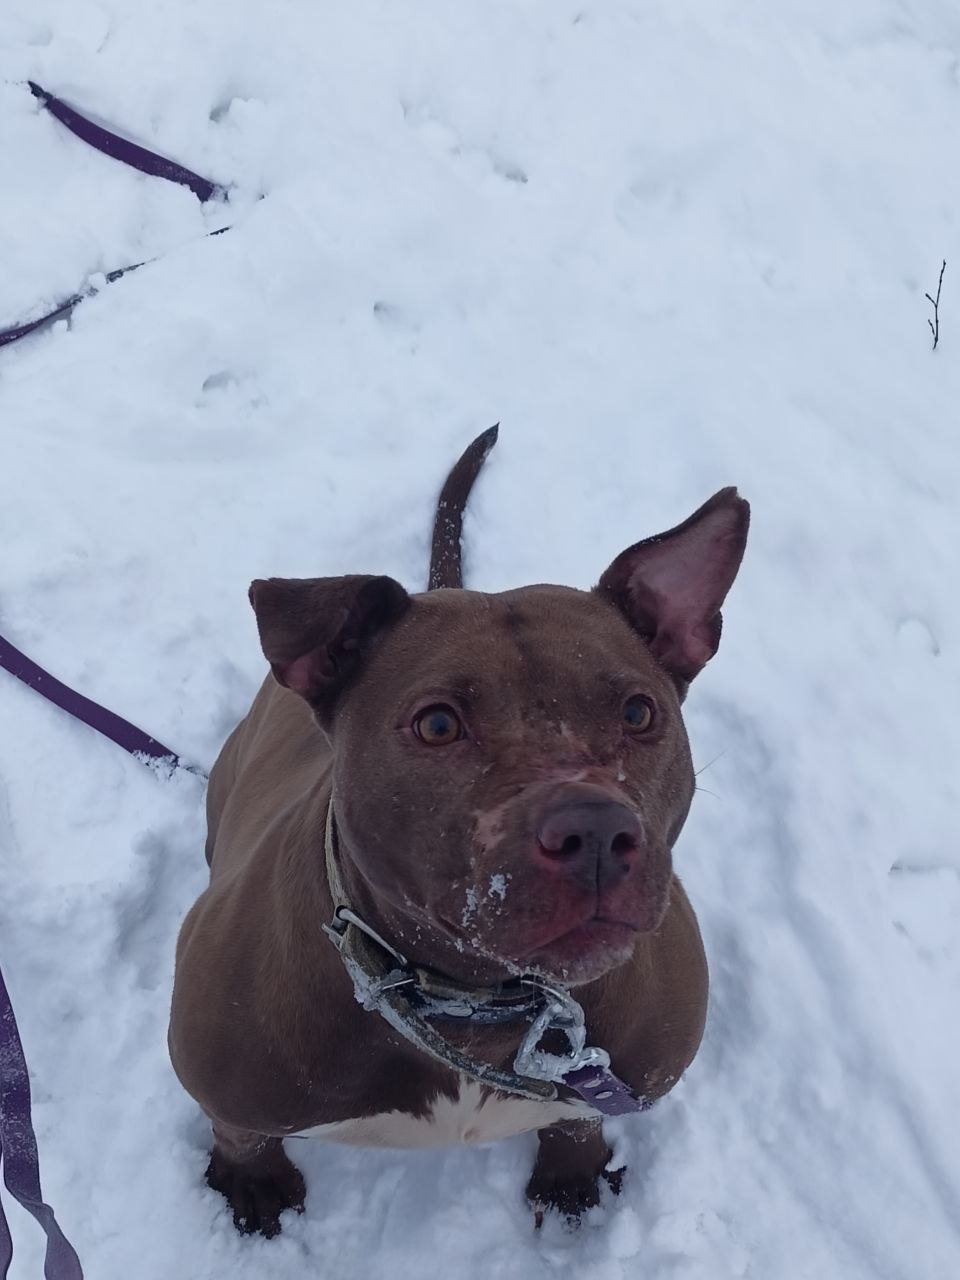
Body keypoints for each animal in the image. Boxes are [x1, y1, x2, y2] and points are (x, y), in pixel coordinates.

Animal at [168, 428, 749, 1236]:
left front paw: (573, 1172)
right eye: (438, 724)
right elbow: (239, 1128)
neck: (476, 1007)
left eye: (639, 713)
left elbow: (580, 1115)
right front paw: (252, 1182)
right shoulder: (227, 1080)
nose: (596, 833)